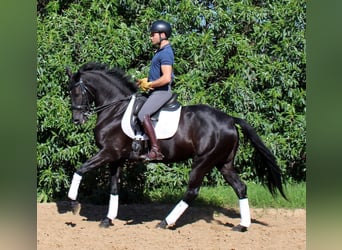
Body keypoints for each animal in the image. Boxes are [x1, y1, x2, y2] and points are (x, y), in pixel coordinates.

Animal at [65, 62, 286, 232]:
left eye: (77, 92)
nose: (76, 120)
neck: (115, 109)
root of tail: (230, 119)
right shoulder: (116, 157)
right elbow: (113, 188)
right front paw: (108, 219)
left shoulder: (108, 152)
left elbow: (80, 169)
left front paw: (73, 203)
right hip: (224, 163)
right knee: (240, 187)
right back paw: (242, 226)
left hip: (203, 160)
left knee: (192, 191)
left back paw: (165, 222)